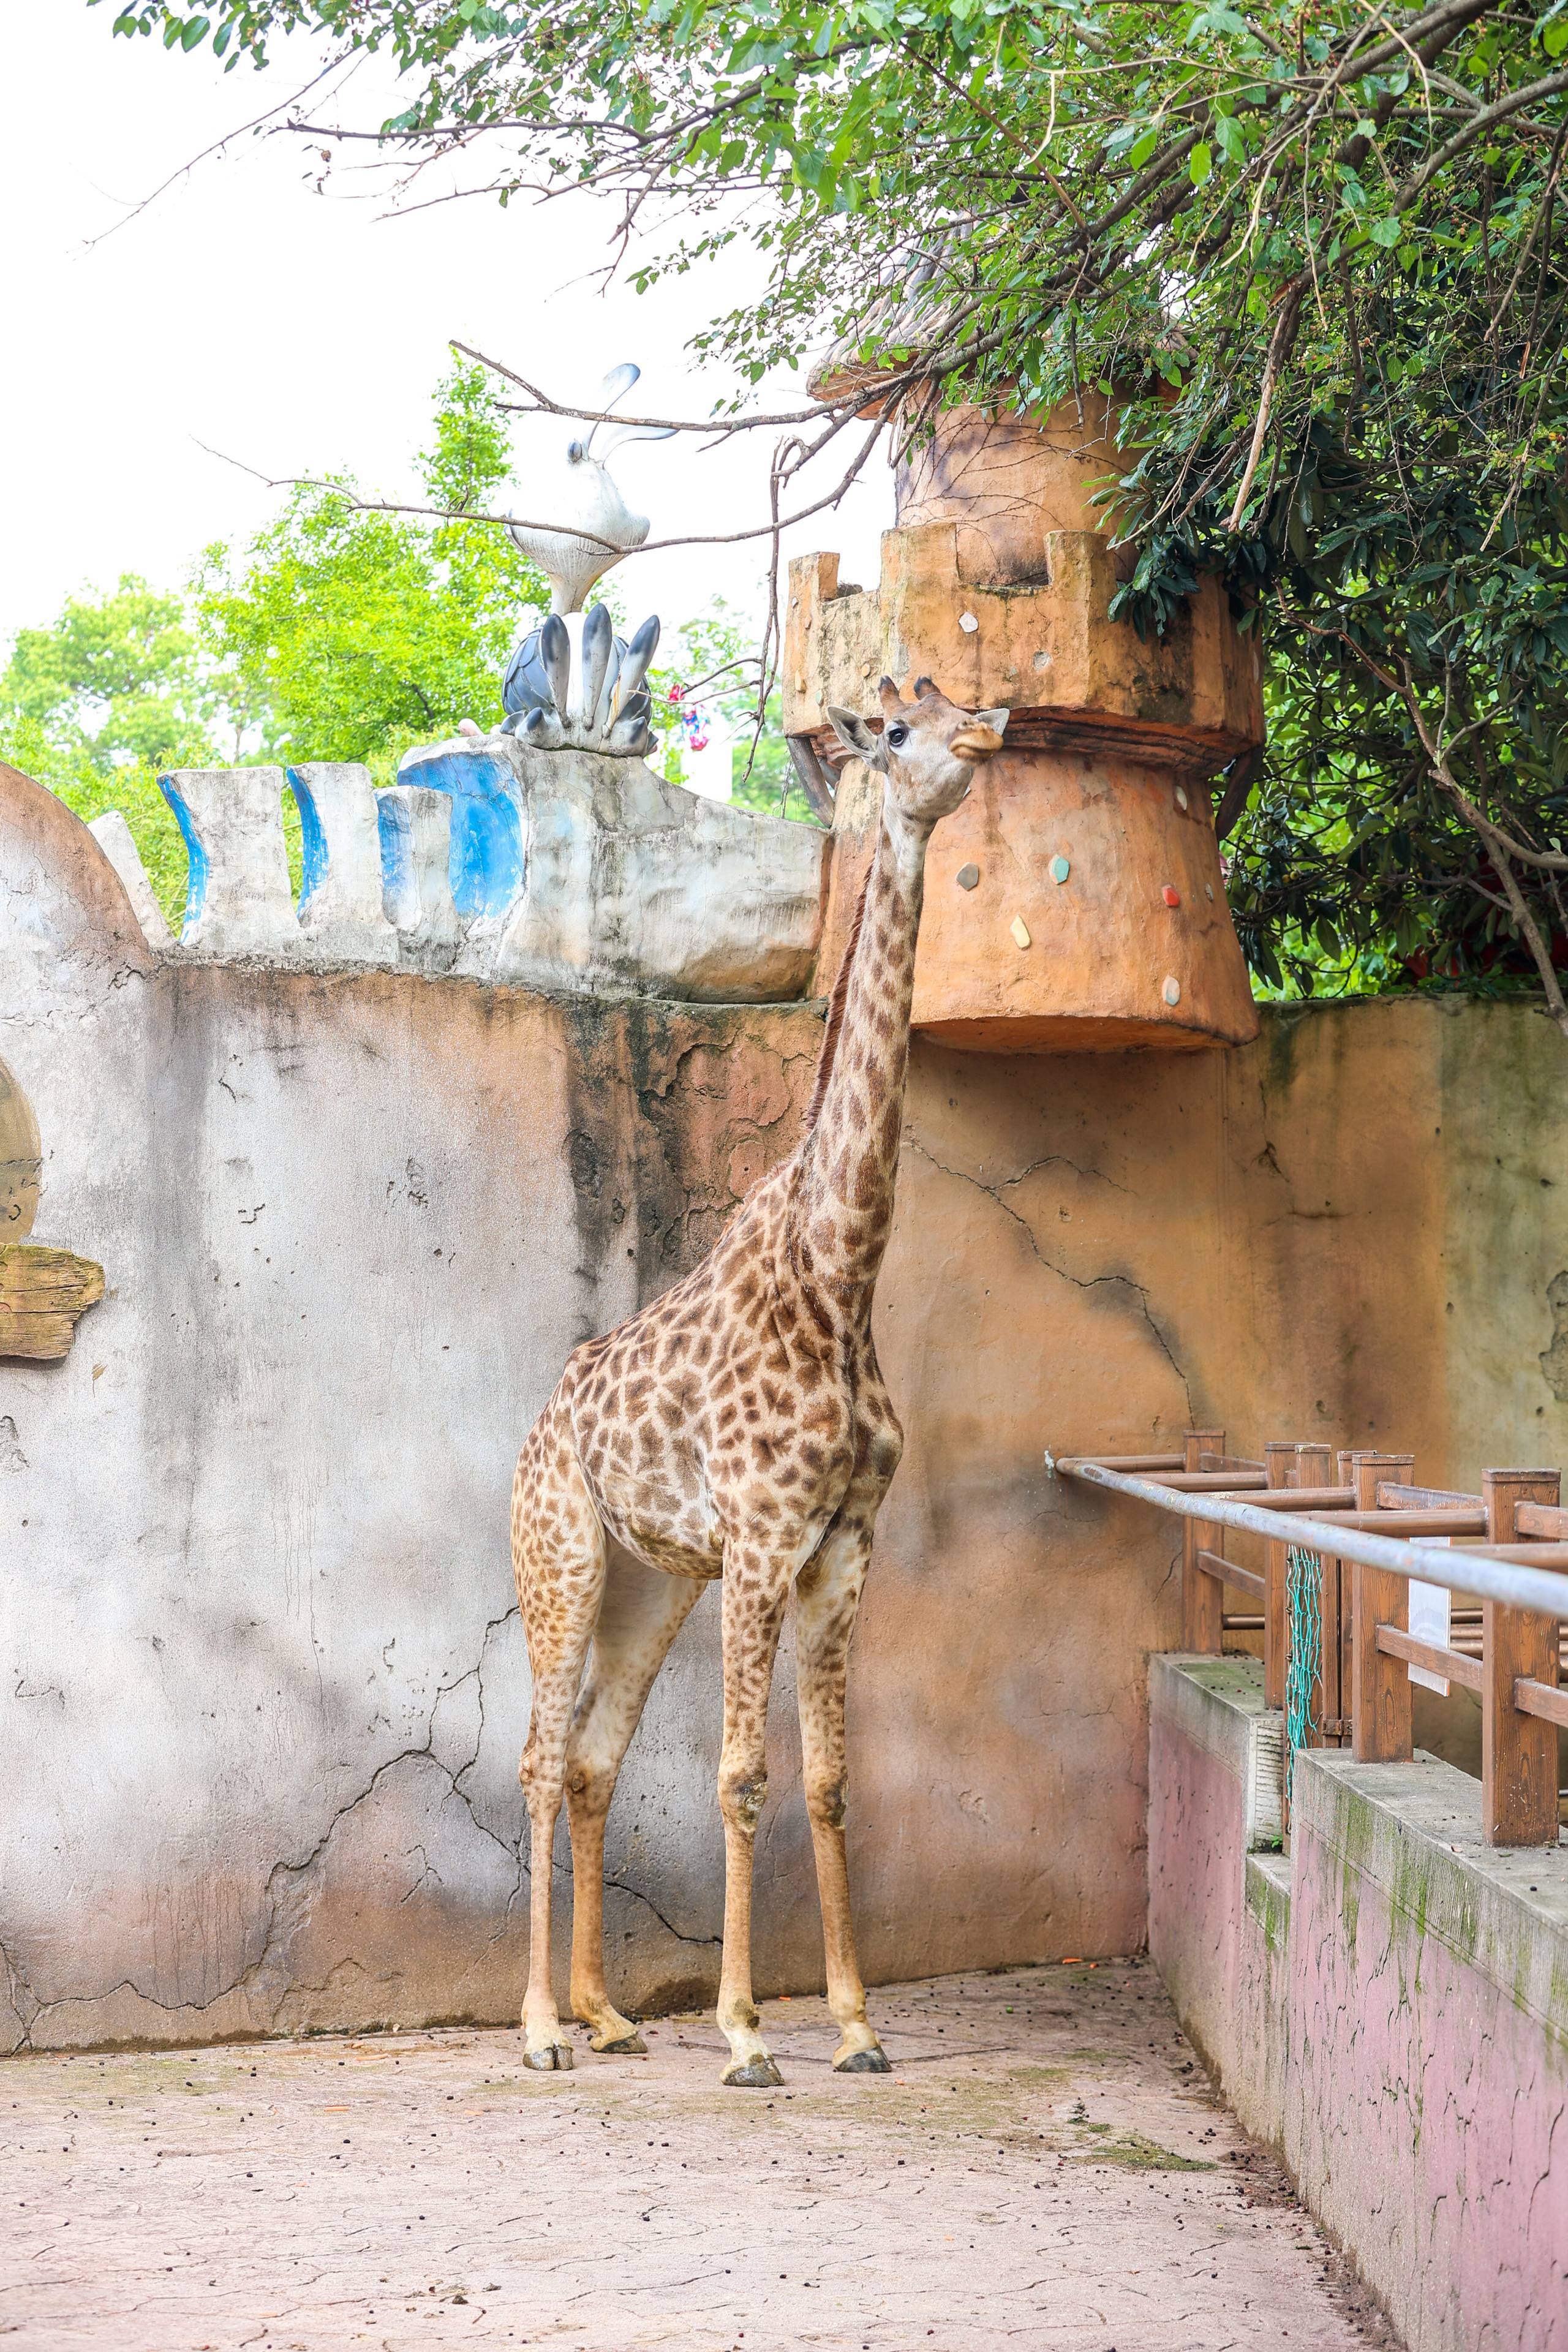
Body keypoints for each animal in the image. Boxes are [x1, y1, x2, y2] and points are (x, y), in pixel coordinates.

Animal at [510, 673, 1011, 2088]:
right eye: (894, 729)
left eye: (959, 699)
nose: (990, 732)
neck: (842, 1277)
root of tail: (539, 1425)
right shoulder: (763, 1535)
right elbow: (741, 1775)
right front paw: (743, 2033)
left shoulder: (843, 1542)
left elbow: (830, 1780)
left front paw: (854, 2025)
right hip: (562, 1557)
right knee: (536, 1757)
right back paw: (538, 2029)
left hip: (651, 1583)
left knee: (592, 1757)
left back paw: (606, 2015)